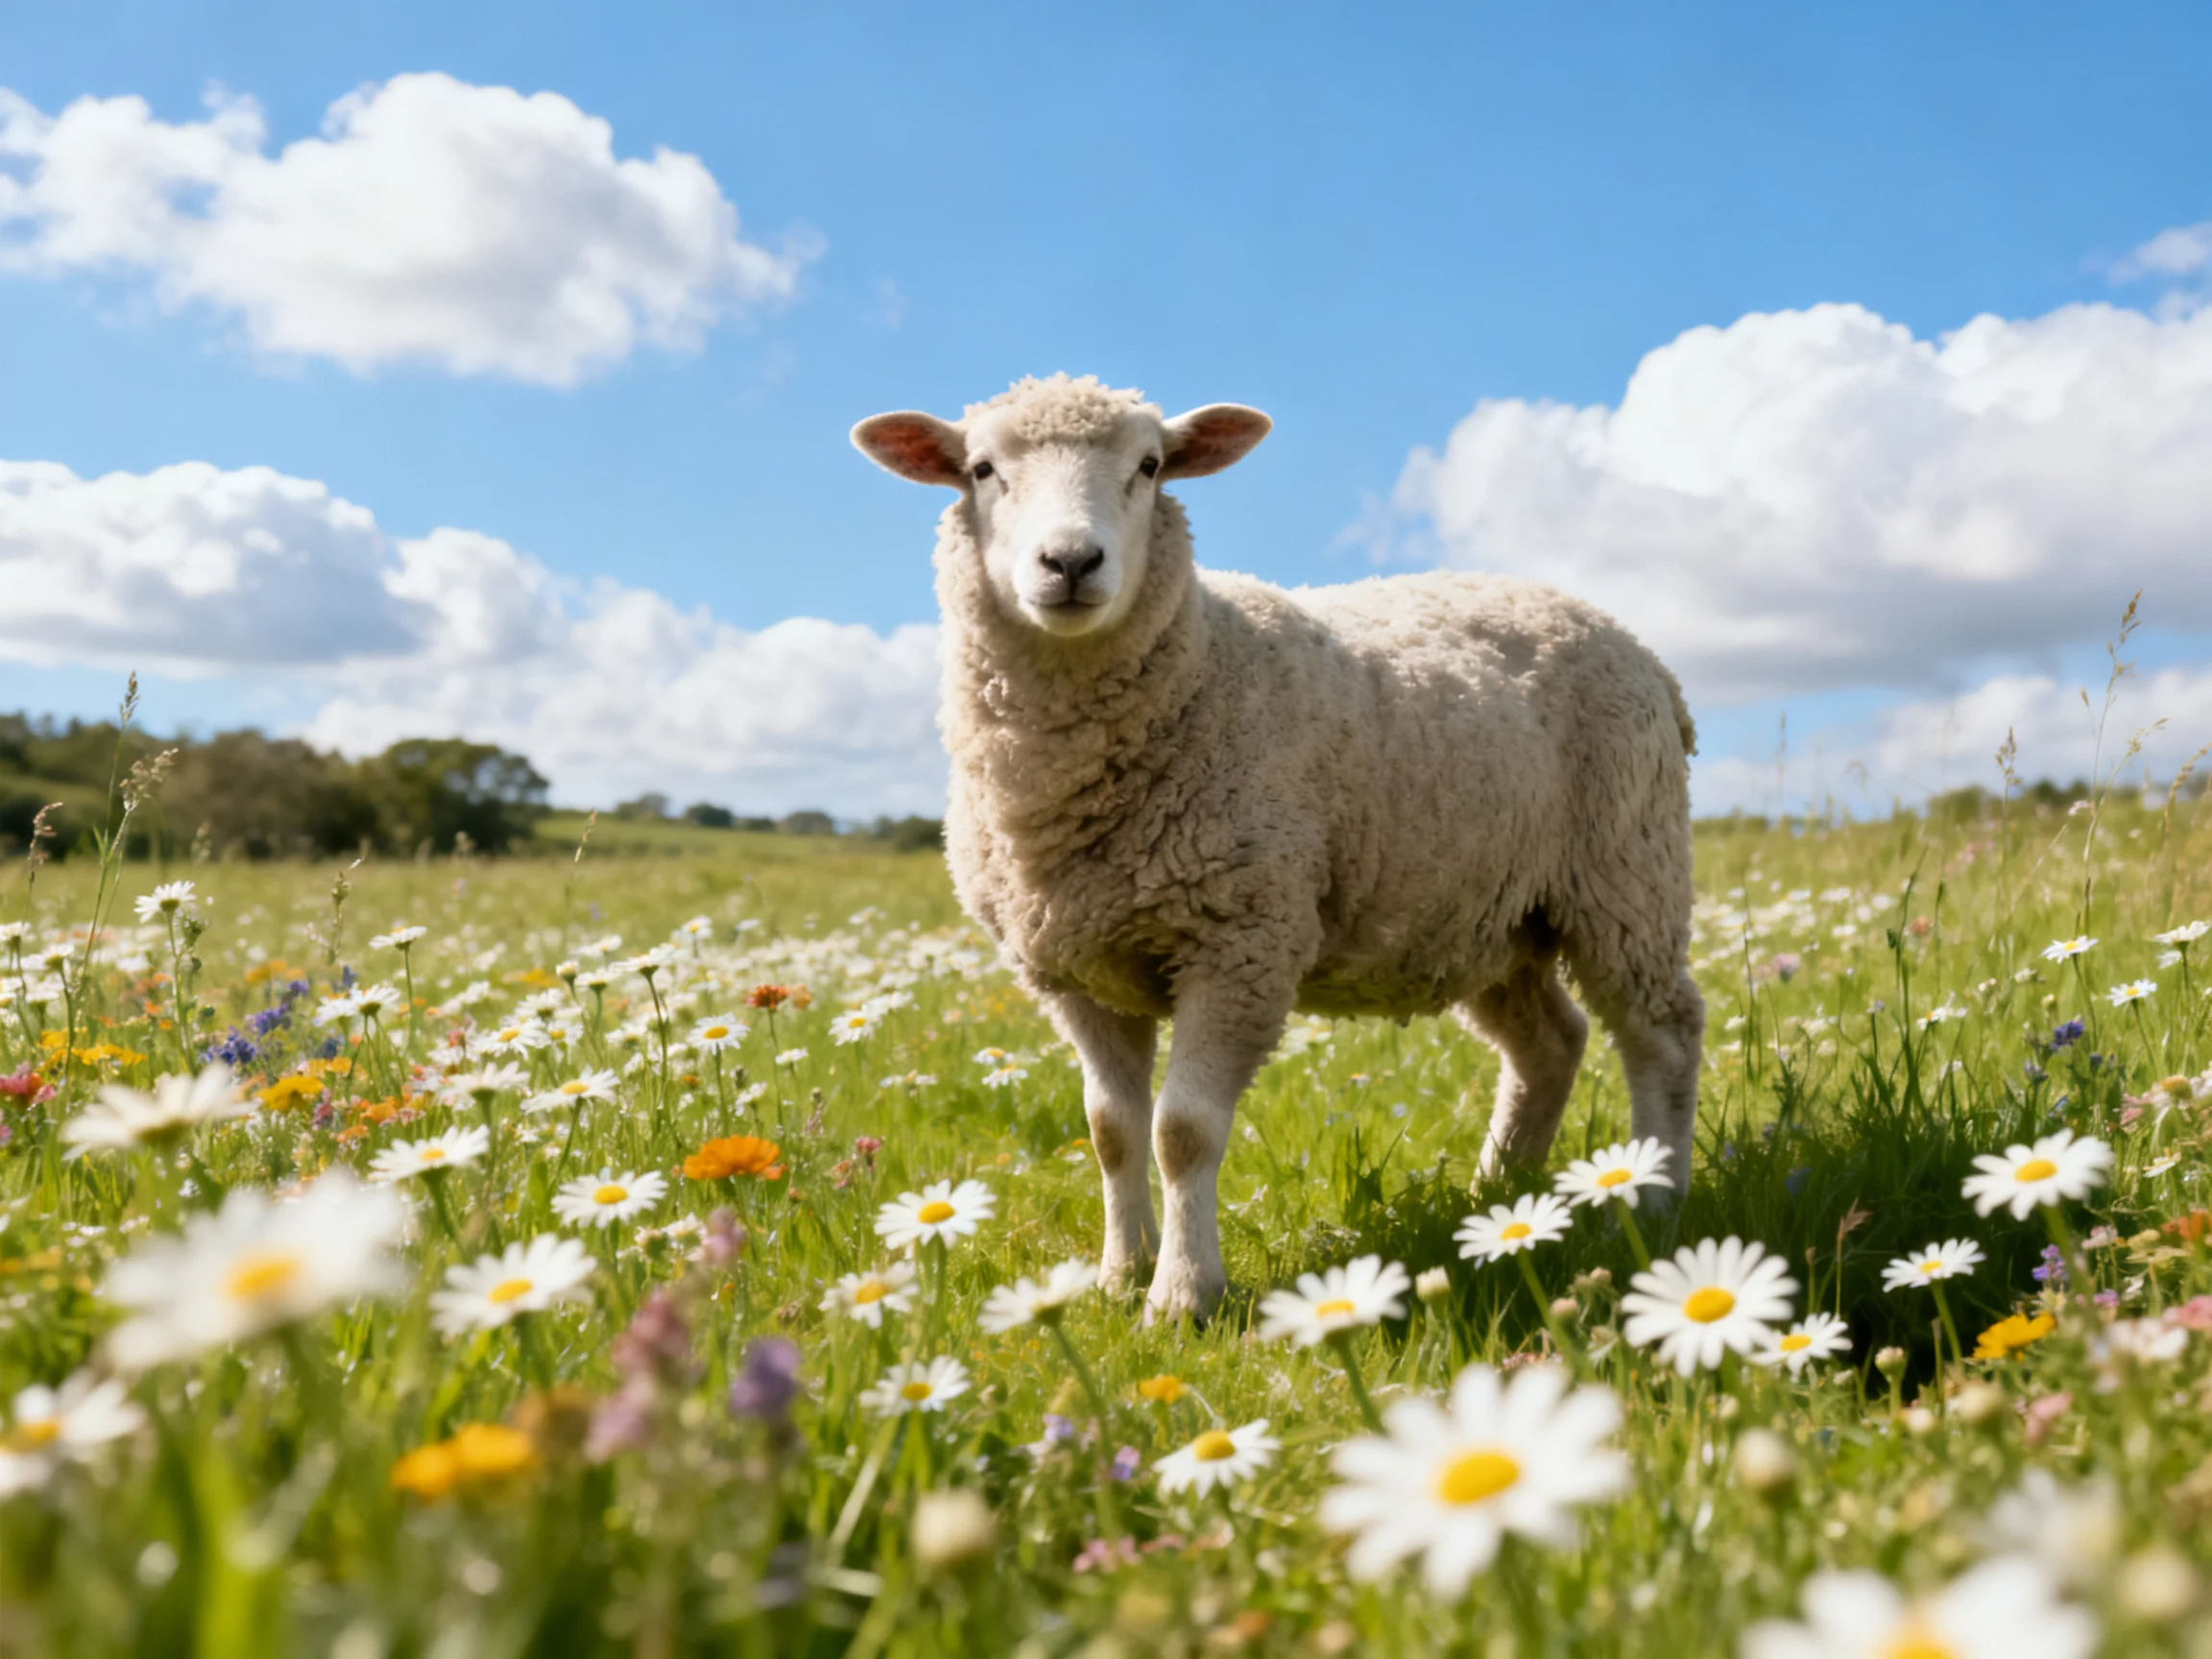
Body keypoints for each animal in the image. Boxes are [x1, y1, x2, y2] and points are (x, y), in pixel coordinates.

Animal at [853, 374, 1703, 1322]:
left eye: (1149, 466)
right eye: (981, 469)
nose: (1071, 563)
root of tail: (1636, 647)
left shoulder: (1241, 940)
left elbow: (1182, 1131)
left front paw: (1182, 1296)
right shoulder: (1075, 971)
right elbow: (1111, 1132)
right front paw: (1117, 1276)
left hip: (1626, 868)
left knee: (1662, 1033)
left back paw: (1655, 1203)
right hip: (1489, 913)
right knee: (1548, 1044)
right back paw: (1499, 1196)